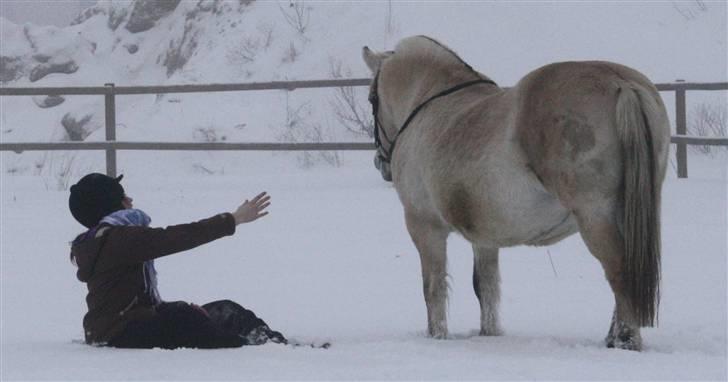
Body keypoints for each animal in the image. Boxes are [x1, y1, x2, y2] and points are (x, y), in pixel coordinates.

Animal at [364, 36, 672, 352]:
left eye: (371, 99)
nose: (380, 164)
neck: (432, 107)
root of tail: (620, 82)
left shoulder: (424, 226)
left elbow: (433, 287)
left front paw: (437, 336)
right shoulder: (484, 237)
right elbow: (485, 287)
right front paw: (490, 334)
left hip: (595, 217)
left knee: (619, 272)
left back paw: (626, 340)